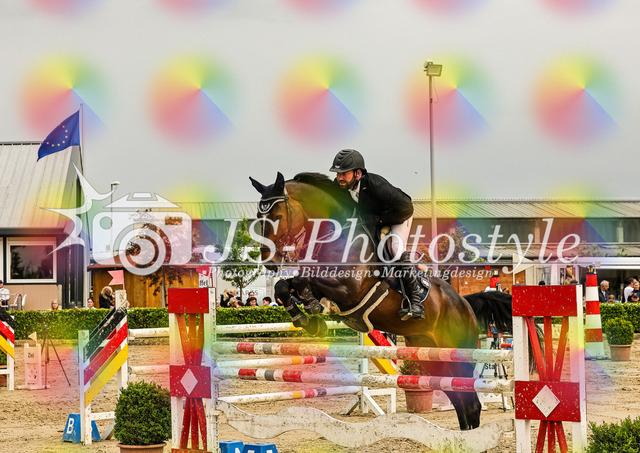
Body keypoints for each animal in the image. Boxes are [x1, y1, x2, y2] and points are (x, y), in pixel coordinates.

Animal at [249, 171, 514, 431]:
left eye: (277, 215)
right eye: (259, 217)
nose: (269, 262)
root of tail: (465, 303)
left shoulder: (348, 288)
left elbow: (307, 280)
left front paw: (313, 308)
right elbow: (285, 286)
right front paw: (307, 318)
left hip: (457, 353)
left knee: (471, 403)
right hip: (431, 356)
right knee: (461, 401)